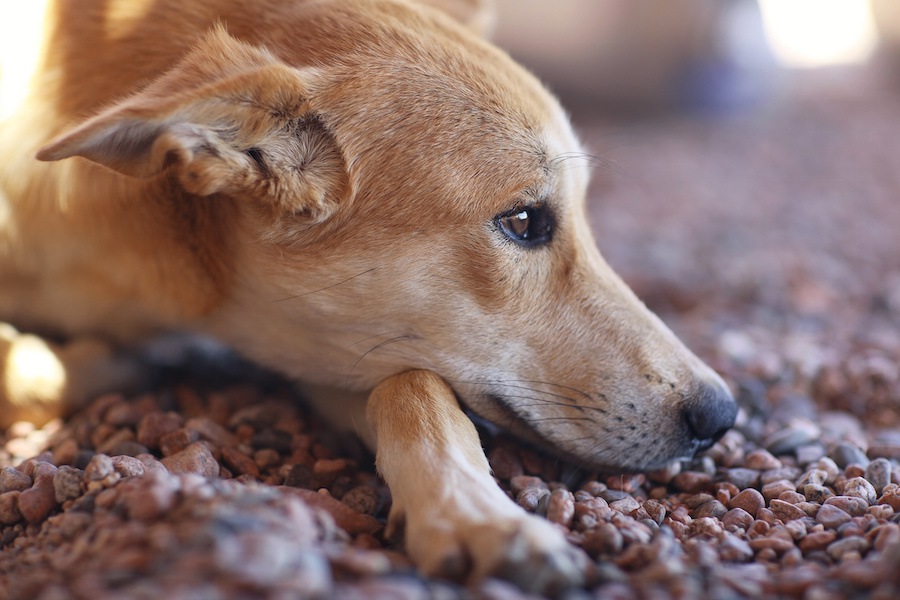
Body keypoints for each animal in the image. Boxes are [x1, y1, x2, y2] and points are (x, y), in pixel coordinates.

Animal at [0, 0, 740, 592]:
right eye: (525, 222)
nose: (722, 415)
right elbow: (43, 367)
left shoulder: (340, 347)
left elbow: (417, 390)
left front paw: (477, 516)